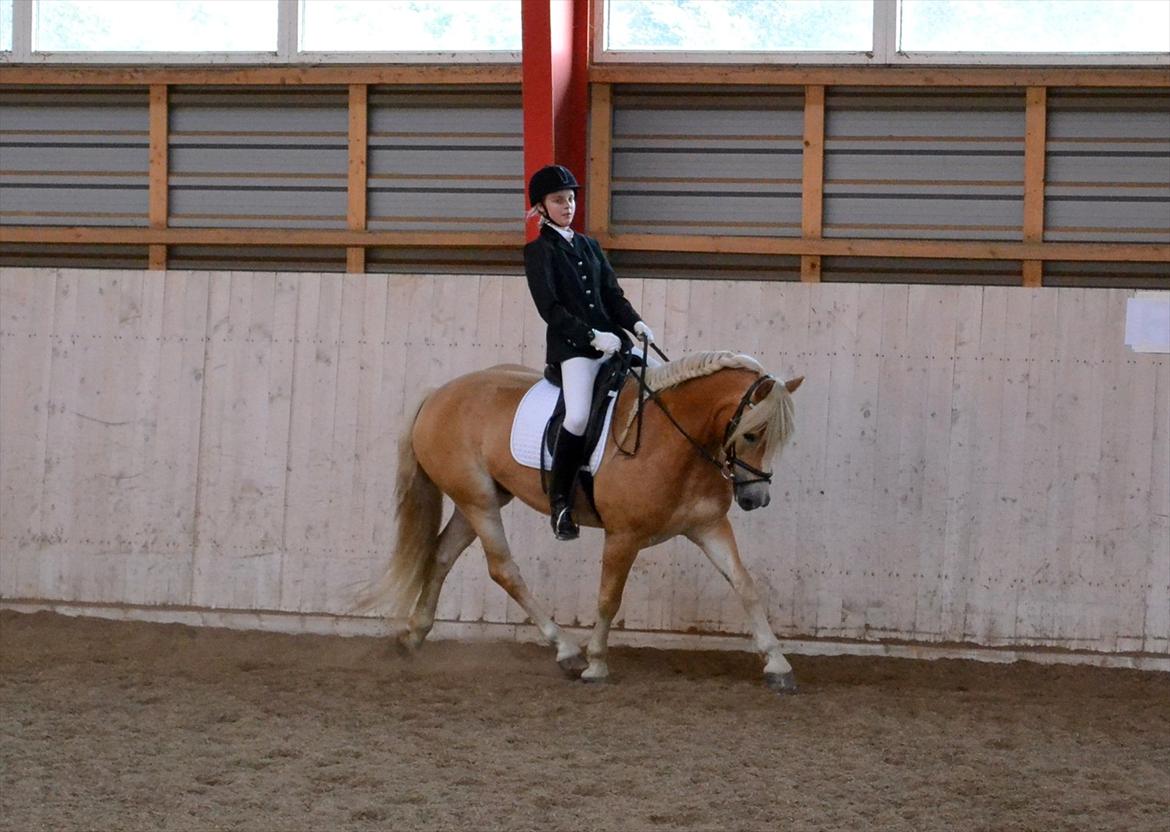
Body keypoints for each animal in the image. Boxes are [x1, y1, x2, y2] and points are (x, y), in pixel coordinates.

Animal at [358, 348, 804, 692]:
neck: (673, 438)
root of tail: (439, 394)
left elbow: (745, 585)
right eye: (751, 434)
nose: (755, 498)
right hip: (478, 501)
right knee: (504, 569)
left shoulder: (708, 527)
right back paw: (567, 651)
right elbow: (609, 598)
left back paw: (414, 636)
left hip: (477, 501)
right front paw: (596, 664)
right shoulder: (623, 536)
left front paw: (777, 664)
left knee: (441, 555)